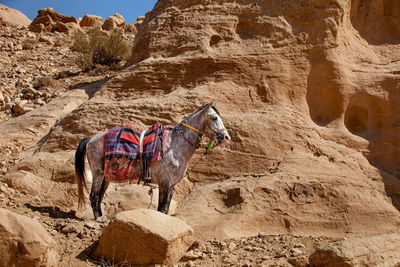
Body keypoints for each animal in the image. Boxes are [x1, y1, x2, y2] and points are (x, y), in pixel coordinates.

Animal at [74, 102, 230, 222]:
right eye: (214, 117)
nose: (226, 137)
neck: (174, 146)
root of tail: (91, 138)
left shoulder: (172, 185)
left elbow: (166, 209)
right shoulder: (164, 182)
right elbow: (161, 208)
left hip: (107, 176)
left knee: (100, 195)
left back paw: (101, 216)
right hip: (98, 173)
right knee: (94, 195)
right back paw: (98, 218)